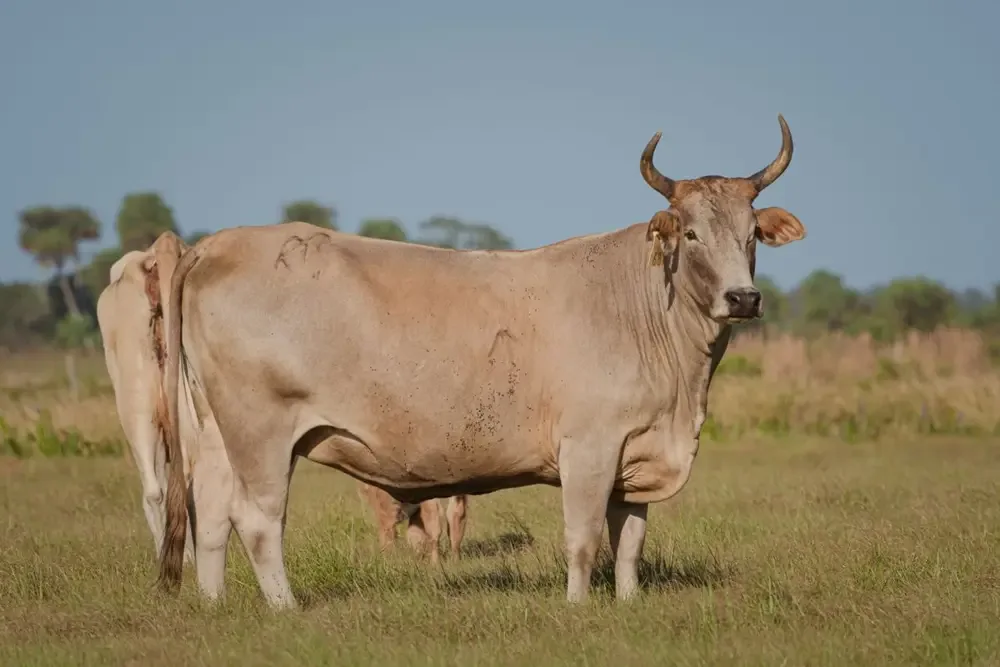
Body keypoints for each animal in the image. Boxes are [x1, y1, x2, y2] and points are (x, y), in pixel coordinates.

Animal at [157, 115, 807, 609]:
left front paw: (627, 603)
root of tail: (216, 243)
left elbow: (629, 542)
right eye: (691, 234)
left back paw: (214, 603)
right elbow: (583, 538)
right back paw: (286, 608)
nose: (743, 298)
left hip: (216, 429)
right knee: (257, 518)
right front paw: (578, 608)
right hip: (261, 429)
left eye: (751, 234)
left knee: (209, 510)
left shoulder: (637, 451)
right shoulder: (590, 447)